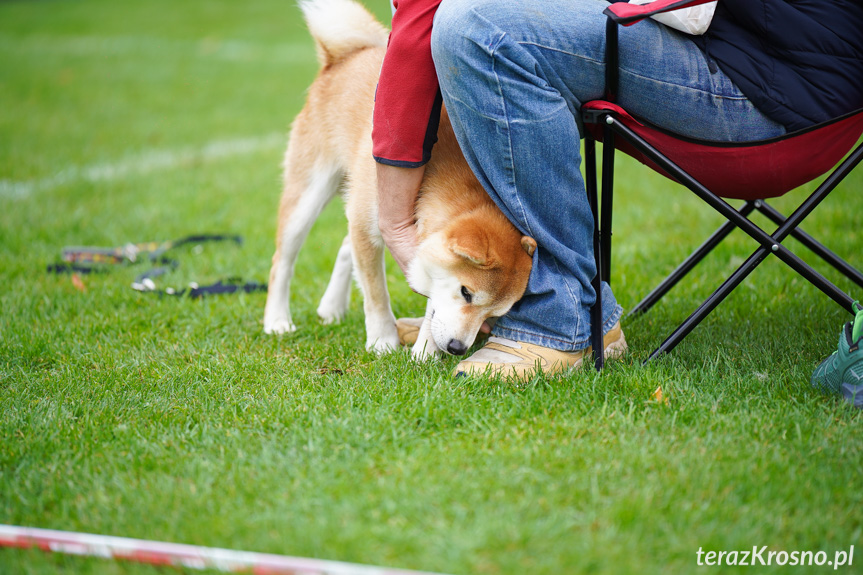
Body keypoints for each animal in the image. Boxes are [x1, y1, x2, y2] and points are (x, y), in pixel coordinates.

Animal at [262, 0, 532, 360]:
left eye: (495, 313)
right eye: (467, 293)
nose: (458, 348)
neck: (430, 179)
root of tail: (347, 55)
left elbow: (432, 306)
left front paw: (425, 352)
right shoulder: (378, 229)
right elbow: (376, 293)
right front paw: (382, 341)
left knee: (345, 246)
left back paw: (332, 307)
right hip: (309, 196)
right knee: (283, 261)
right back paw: (277, 321)